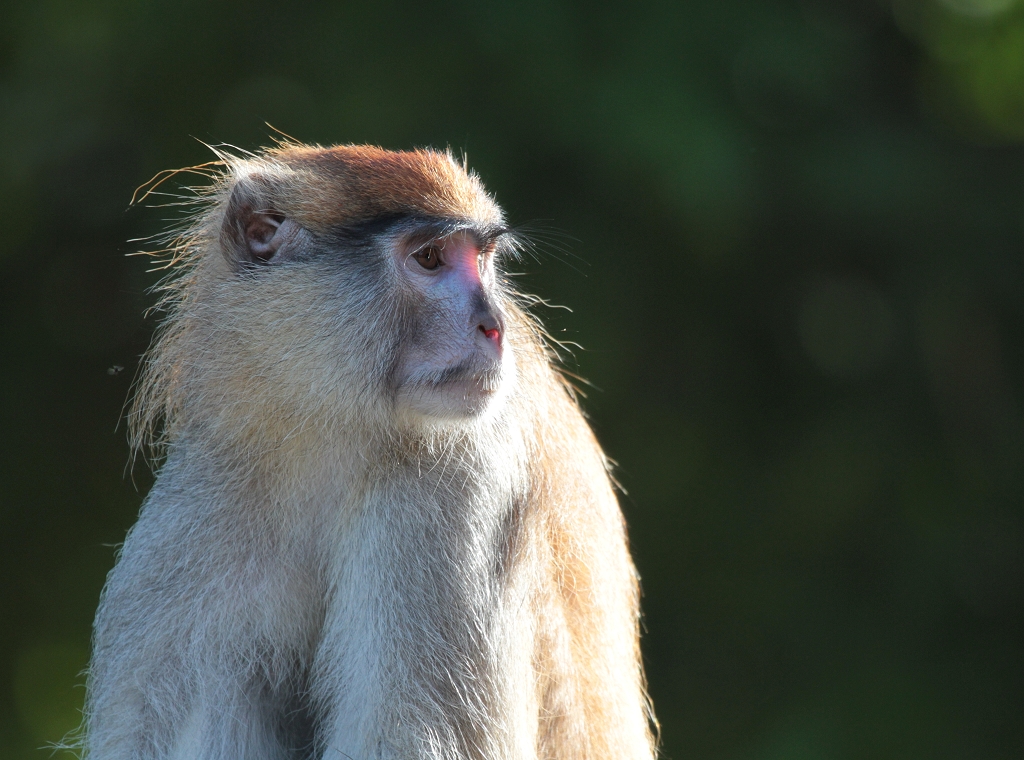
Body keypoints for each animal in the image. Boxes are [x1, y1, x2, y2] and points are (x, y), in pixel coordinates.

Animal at [83, 144, 651, 760]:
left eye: (483, 258)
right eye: (429, 258)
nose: (493, 326)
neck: (328, 437)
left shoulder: (457, 483)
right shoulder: (210, 489)